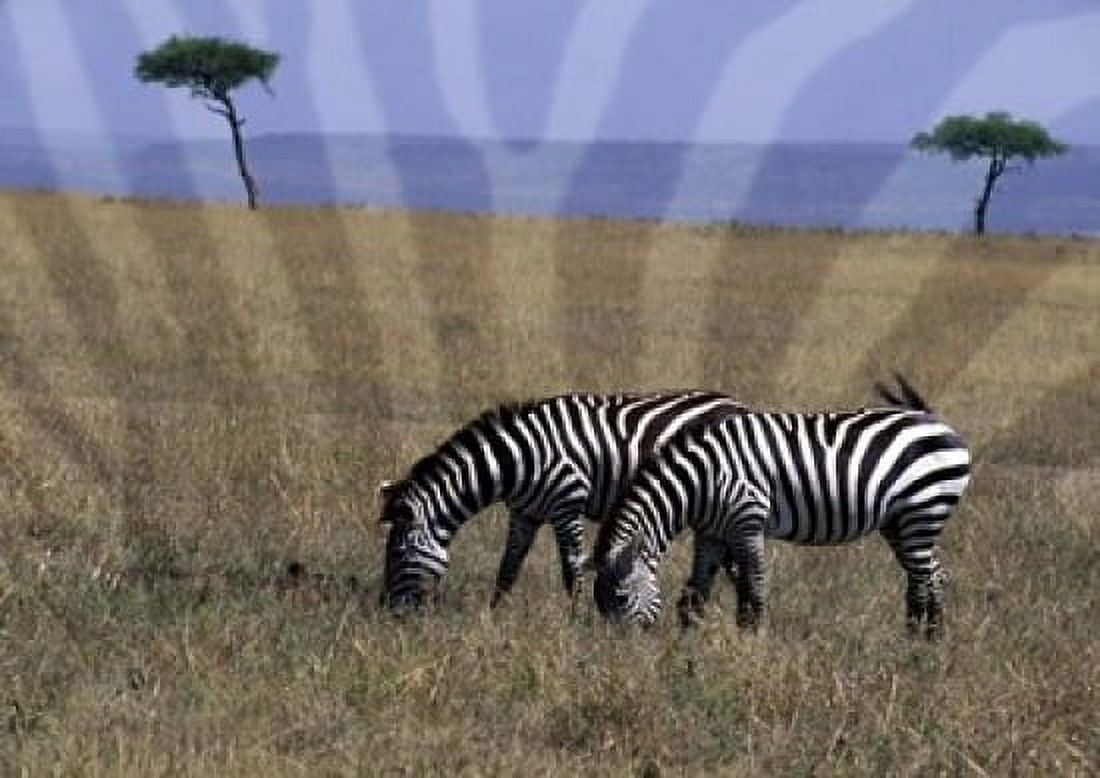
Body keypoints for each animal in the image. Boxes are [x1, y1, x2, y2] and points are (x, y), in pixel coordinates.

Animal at [378, 390, 745, 610]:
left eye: (397, 553)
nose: (386, 610)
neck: (519, 460)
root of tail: (739, 405)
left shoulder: (567, 506)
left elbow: (572, 572)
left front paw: (575, 623)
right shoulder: (525, 513)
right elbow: (508, 569)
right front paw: (492, 618)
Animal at [589, 376, 971, 640]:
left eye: (621, 598)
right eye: (599, 604)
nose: (623, 655)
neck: (699, 479)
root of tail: (932, 419)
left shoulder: (748, 520)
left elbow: (754, 583)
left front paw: (751, 638)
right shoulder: (711, 532)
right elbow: (696, 591)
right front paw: (687, 643)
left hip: (922, 511)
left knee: (921, 580)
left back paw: (911, 643)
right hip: (900, 522)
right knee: (934, 574)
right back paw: (932, 641)